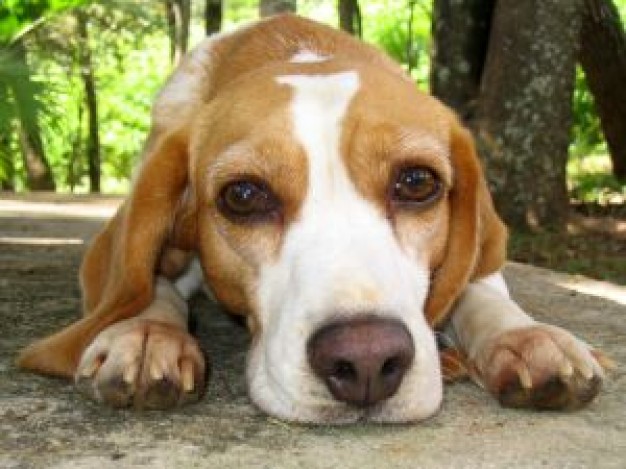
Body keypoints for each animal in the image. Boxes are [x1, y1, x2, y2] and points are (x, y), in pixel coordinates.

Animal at [18, 15, 604, 424]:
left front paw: (526, 338)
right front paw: (145, 335)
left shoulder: (484, 256)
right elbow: (147, 282)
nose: (366, 362)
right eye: (244, 195)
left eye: (417, 183)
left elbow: (482, 289)